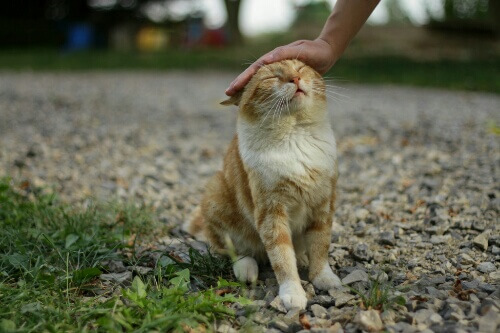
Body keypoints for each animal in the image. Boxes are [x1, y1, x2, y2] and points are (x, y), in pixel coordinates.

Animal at [186, 59, 342, 308]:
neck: (294, 135)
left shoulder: (323, 203)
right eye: (272, 77)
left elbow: (320, 245)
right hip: (215, 192)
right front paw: (292, 292)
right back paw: (247, 268)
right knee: (231, 248)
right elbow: (281, 256)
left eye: (300, 68)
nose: (295, 78)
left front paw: (322, 277)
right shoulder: (271, 211)